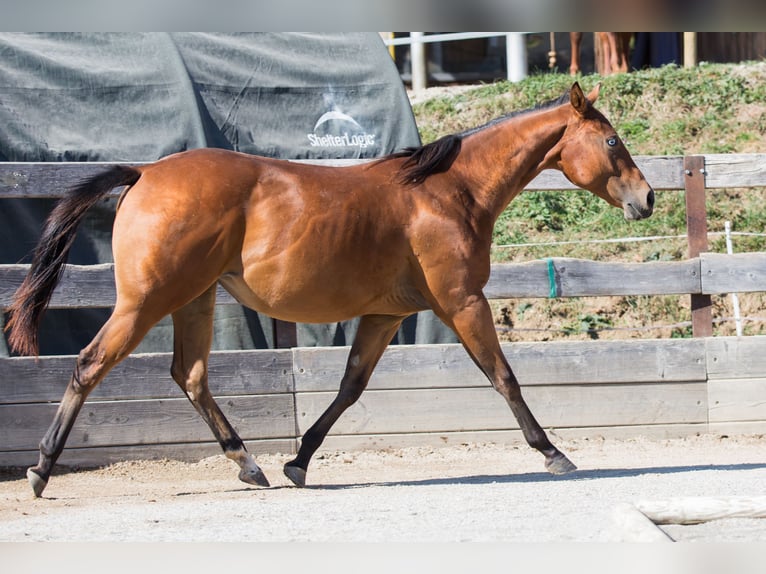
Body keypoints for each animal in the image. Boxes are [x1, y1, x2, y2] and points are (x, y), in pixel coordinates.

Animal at [6, 82, 654, 497]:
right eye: (613, 141)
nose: (646, 199)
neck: (449, 192)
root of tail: (145, 172)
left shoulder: (385, 317)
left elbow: (349, 389)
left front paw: (297, 462)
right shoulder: (462, 303)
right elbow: (504, 376)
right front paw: (554, 453)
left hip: (194, 299)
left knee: (189, 375)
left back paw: (250, 466)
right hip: (147, 301)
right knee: (90, 364)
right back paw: (40, 471)